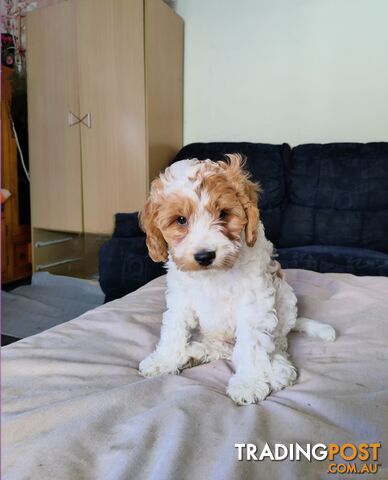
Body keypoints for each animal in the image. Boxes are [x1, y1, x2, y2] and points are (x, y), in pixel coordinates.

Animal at [138, 155, 334, 404]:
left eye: (223, 214)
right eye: (181, 220)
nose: (205, 256)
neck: (213, 275)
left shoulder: (253, 304)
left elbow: (252, 346)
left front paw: (249, 383)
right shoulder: (180, 298)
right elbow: (173, 327)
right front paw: (164, 360)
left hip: (286, 302)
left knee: (276, 345)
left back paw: (279, 369)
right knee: (223, 348)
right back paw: (195, 353)